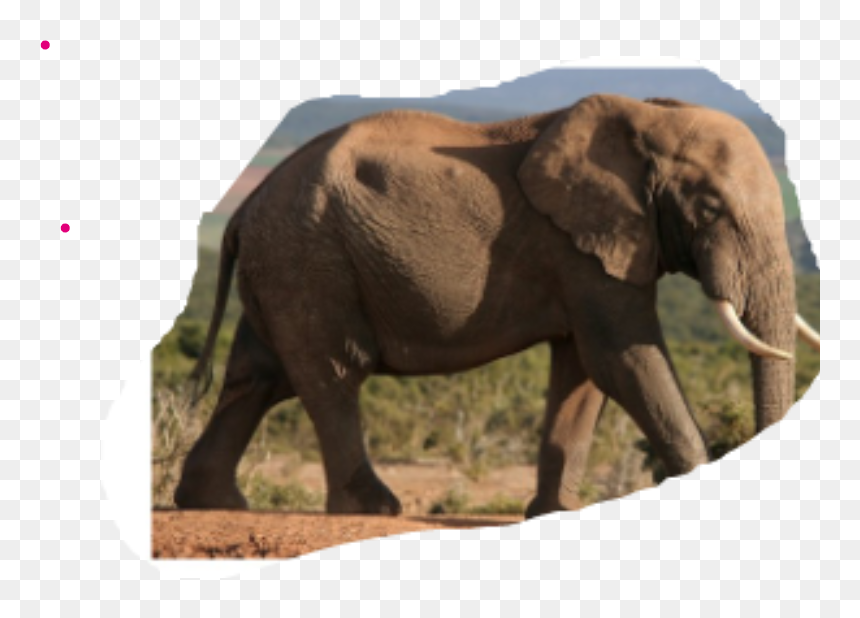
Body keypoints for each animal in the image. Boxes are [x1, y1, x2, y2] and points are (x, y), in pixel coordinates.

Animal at [174, 94, 820, 518]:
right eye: (709, 209)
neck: (649, 116)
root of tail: (242, 209)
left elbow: (583, 372)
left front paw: (555, 512)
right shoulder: (577, 246)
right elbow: (620, 357)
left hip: (284, 265)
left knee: (257, 375)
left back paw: (213, 503)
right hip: (308, 260)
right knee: (331, 374)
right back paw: (373, 509)